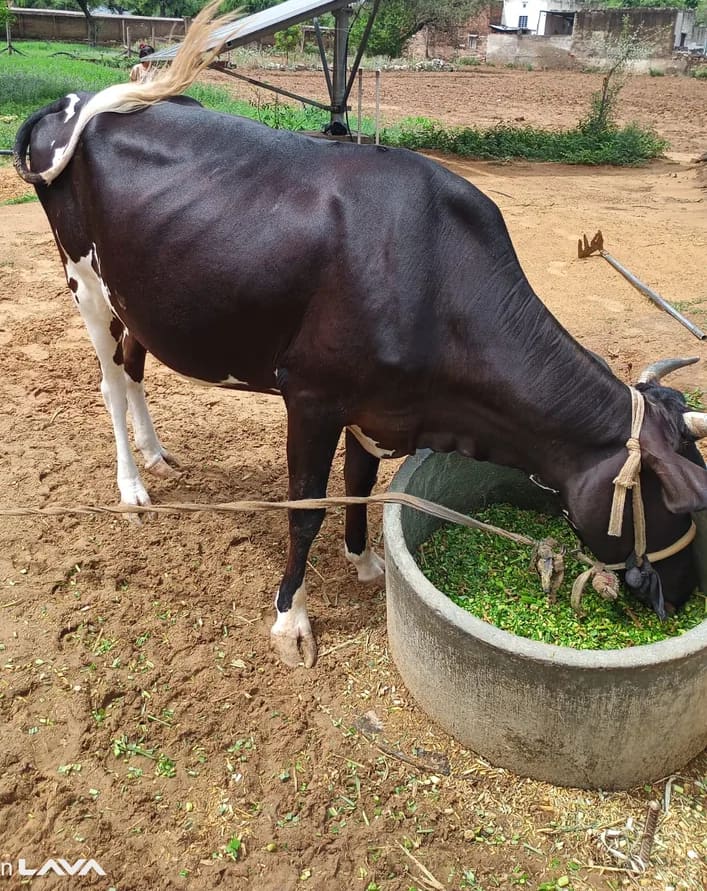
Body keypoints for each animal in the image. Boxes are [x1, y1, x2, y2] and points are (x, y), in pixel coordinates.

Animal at [13, 3, 707, 668]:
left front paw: (365, 561)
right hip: (85, 281)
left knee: (134, 365)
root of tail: (73, 101)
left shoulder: (377, 408)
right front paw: (291, 621)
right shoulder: (312, 398)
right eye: (686, 503)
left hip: (138, 294)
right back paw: (133, 485)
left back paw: (156, 452)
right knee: (109, 381)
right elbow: (306, 510)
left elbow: (361, 486)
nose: (683, 595)